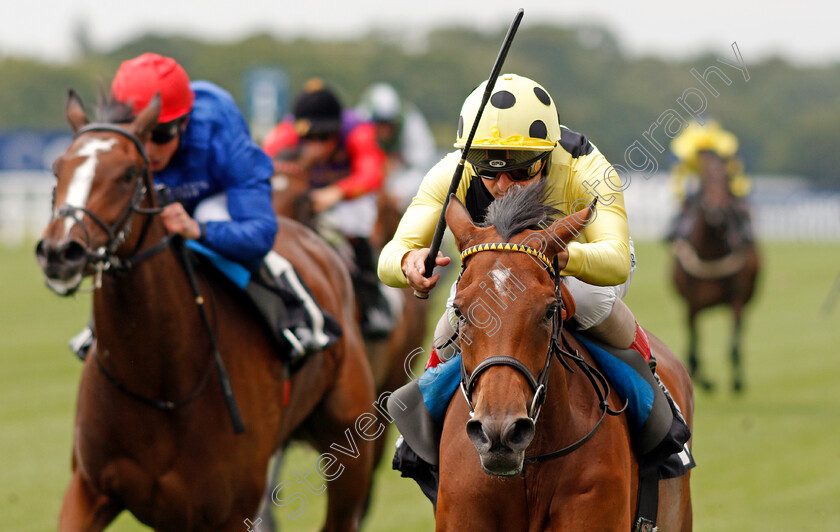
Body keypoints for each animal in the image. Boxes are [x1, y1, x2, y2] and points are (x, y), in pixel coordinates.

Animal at [33, 93, 374, 528]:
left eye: (128, 174)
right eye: (57, 168)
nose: (60, 251)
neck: (160, 383)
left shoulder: (231, 510)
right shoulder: (89, 491)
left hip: (351, 443)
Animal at [668, 150, 760, 390]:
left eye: (727, 178)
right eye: (706, 178)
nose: (717, 210)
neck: (711, 252)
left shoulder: (737, 298)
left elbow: (734, 344)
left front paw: (737, 383)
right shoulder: (692, 303)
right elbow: (693, 347)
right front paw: (703, 380)